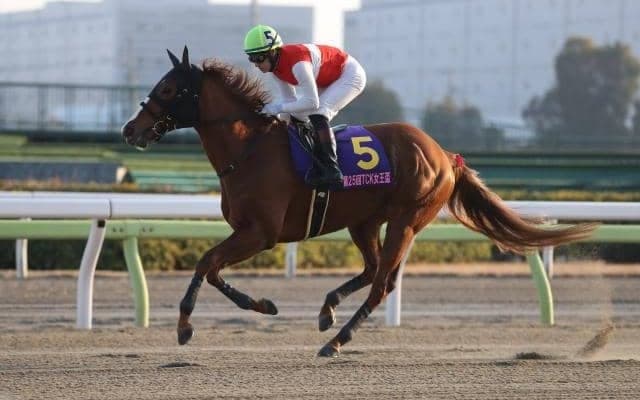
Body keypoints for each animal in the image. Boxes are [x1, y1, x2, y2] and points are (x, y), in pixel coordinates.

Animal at [122, 47, 596, 357]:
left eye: (168, 88)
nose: (130, 129)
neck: (249, 149)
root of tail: (445, 155)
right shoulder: (246, 232)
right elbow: (214, 269)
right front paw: (264, 305)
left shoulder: (262, 233)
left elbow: (206, 261)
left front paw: (185, 326)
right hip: (364, 221)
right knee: (372, 271)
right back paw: (327, 311)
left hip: (406, 220)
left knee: (383, 282)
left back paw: (335, 341)